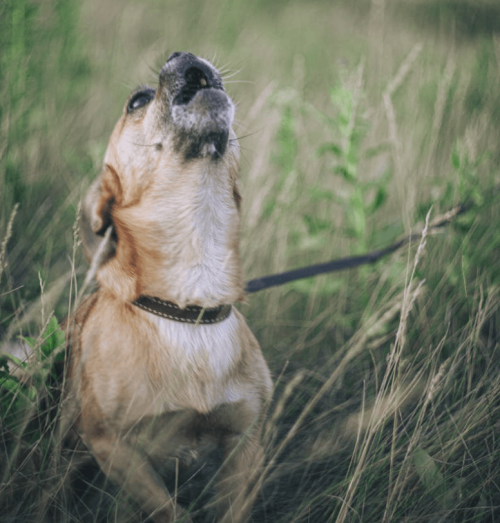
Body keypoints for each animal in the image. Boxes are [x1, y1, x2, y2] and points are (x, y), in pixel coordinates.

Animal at [63, 53, 274, 523]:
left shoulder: (246, 446)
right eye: (137, 101)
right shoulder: (113, 449)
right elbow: (169, 510)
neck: (190, 303)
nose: (183, 54)